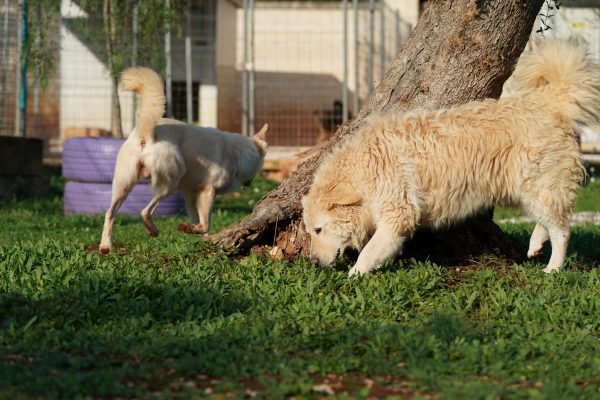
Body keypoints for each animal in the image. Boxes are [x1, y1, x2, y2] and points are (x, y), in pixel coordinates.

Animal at [99, 67, 268, 254]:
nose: (250, 184)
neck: (237, 153)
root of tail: (147, 134)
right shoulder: (207, 191)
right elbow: (206, 224)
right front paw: (192, 230)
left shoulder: (190, 194)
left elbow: (199, 221)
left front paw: (200, 237)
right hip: (171, 182)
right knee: (145, 211)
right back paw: (152, 230)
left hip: (123, 185)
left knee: (110, 212)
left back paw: (105, 246)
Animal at [302, 40, 600, 276]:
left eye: (318, 230)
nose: (314, 263)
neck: (364, 167)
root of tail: (547, 101)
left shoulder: (398, 215)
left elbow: (370, 251)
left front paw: (354, 275)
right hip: (530, 187)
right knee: (548, 219)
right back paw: (536, 246)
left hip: (537, 183)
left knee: (561, 230)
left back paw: (553, 268)